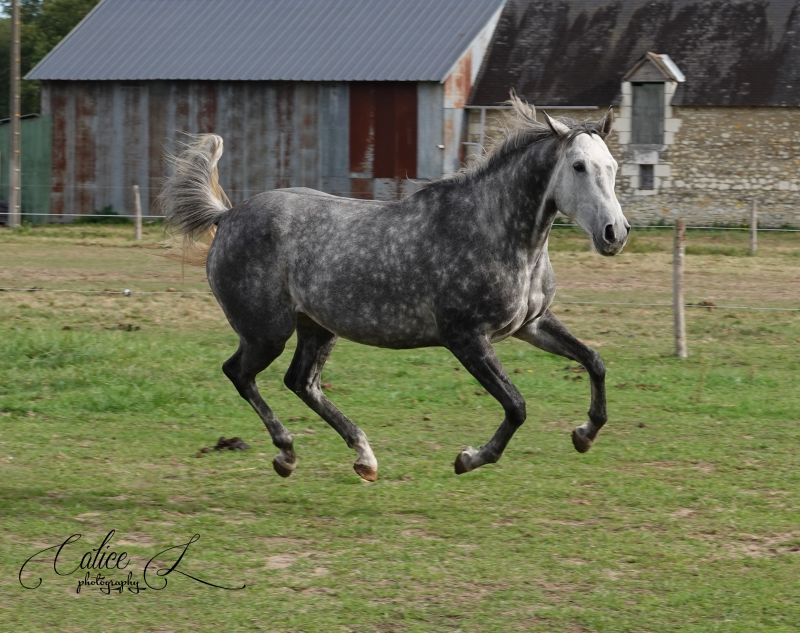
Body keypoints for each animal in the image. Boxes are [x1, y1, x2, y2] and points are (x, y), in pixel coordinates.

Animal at [159, 99, 628, 482]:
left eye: (612, 167)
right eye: (578, 166)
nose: (615, 233)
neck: (495, 231)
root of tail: (227, 216)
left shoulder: (530, 325)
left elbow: (595, 361)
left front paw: (585, 434)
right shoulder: (467, 338)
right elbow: (516, 406)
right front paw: (469, 458)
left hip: (316, 327)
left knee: (301, 382)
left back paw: (363, 458)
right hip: (266, 333)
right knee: (240, 374)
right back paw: (287, 453)